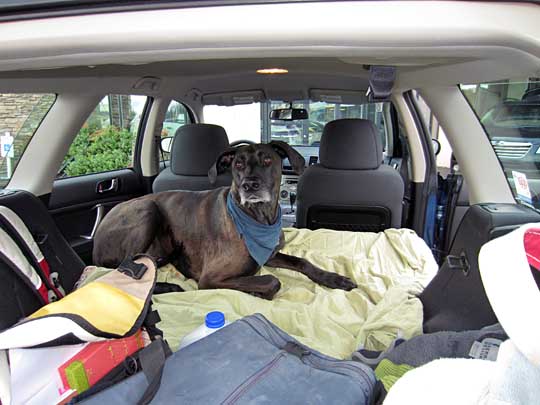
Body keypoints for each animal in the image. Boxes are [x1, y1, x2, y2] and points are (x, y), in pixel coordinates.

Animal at [93, 140, 358, 298]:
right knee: (127, 269)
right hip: (148, 210)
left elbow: (302, 262)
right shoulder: (211, 278)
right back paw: (166, 286)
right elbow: (272, 281)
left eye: (267, 160)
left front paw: (333, 278)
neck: (258, 219)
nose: (249, 185)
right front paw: (259, 291)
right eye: (238, 164)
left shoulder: (270, 254)